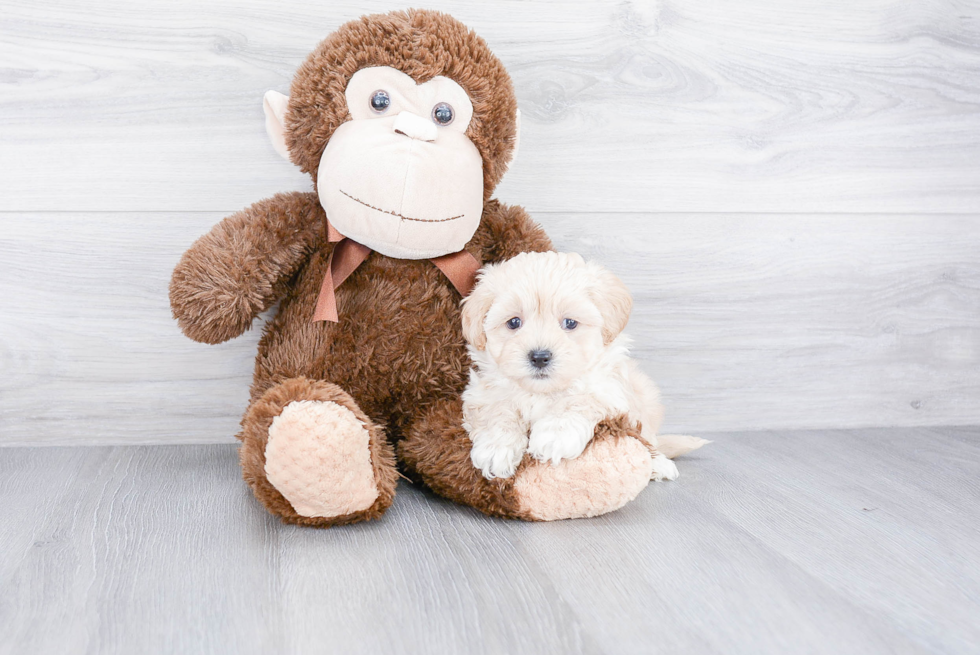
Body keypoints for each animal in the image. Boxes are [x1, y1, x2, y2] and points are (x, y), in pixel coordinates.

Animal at [462, 252, 704, 482]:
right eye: (514, 322)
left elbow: (580, 399)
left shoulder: (608, 389)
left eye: (570, 323)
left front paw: (555, 434)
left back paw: (659, 464)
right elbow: (497, 409)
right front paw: (496, 447)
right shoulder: (483, 392)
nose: (539, 357)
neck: (543, 392)